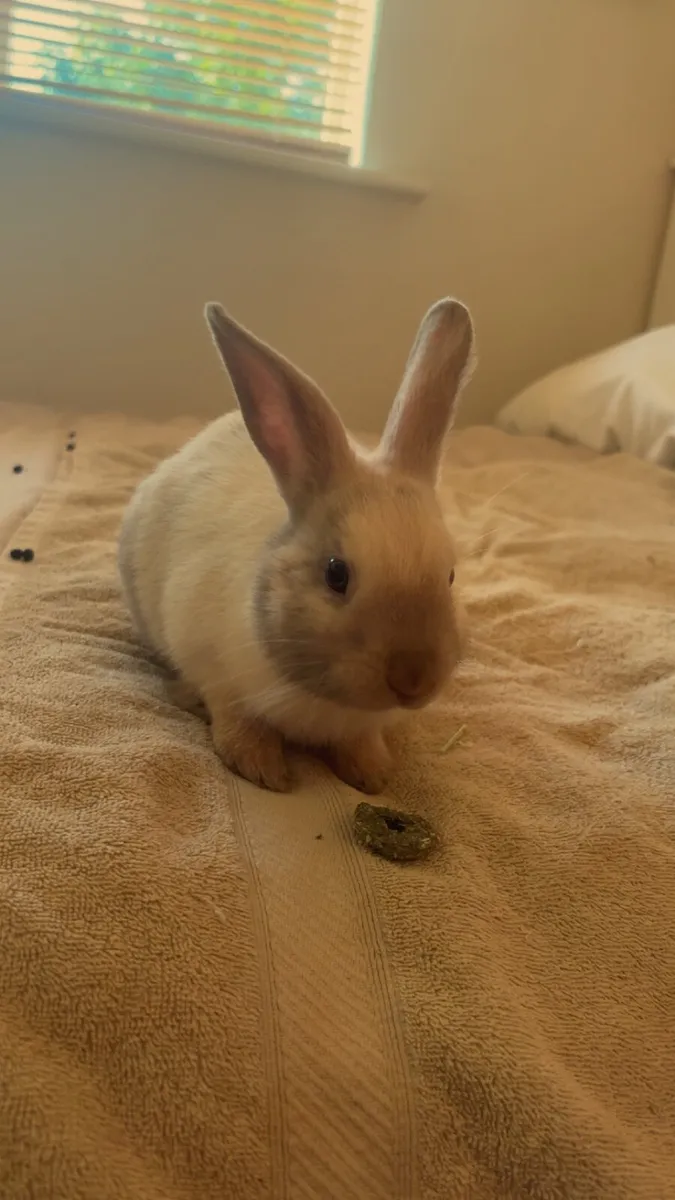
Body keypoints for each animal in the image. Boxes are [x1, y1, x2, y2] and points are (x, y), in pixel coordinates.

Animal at [118, 297, 475, 793]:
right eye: (335, 574)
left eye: (450, 576)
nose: (414, 680)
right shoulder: (211, 664)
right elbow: (235, 717)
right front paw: (261, 768)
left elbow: (359, 745)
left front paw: (373, 775)